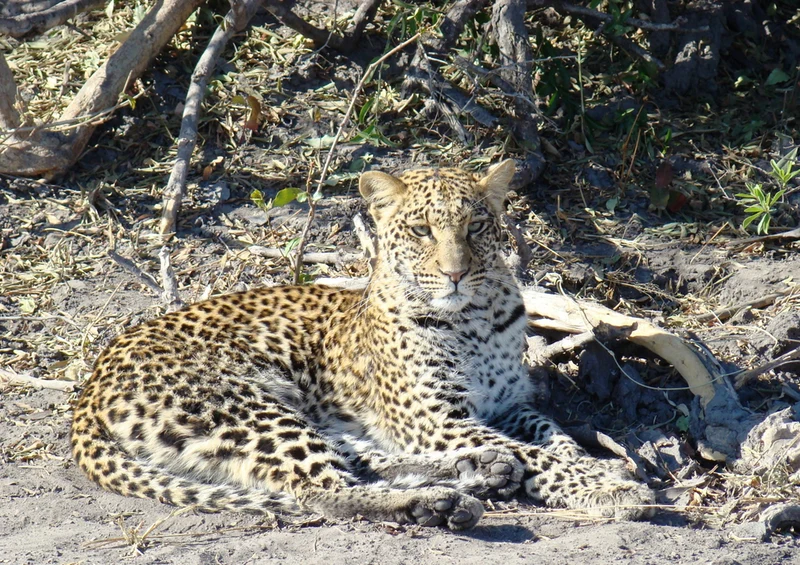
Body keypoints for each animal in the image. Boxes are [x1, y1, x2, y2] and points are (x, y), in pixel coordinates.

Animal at [71, 160, 655, 530]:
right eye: (421, 231)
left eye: (476, 226)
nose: (456, 273)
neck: (477, 319)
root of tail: (91, 385)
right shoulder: (432, 418)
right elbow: (538, 454)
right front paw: (610, 487)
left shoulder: (507, 406)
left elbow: (552, 437)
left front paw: (598, 468)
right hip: (242, 405)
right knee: (322, 489)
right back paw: (439, 501)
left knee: (359, 459)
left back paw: (477, 471)